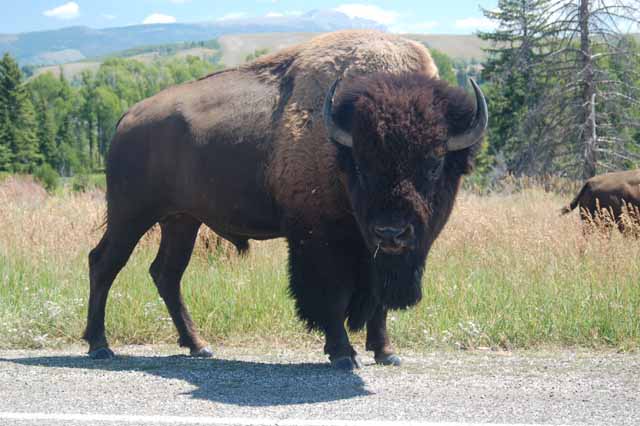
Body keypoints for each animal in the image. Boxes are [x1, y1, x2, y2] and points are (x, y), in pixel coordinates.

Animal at [82, 30, 488, 370]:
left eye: (435, 162)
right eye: (360, 163)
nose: (392, 232)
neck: (338, 144)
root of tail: (127, 118)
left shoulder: (373, 252)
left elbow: (377, 301)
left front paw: (386, 352)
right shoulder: (320, 240)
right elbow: (331, 295)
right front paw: (342, 354)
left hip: (181, 220)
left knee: (166, 273)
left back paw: (198, 345)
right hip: (131, 215)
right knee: (104, 263)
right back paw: (100, 345)